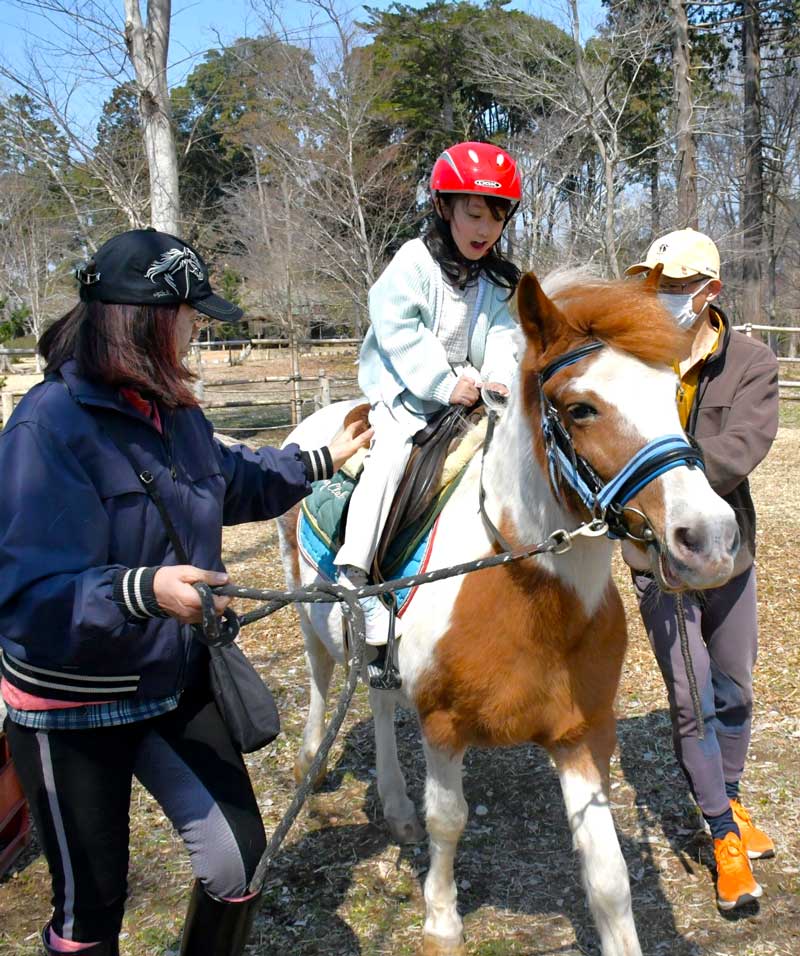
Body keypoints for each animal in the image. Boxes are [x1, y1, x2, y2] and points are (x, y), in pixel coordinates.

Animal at [276, 269, 739, 956]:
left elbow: (608, 878)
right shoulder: (443, 726)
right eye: (581, 408)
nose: (709, 538)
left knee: (380, 699)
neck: (526, 593)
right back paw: (311, 761)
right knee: (320, 677)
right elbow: (449, 820)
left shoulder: (581, 736)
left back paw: (395, 807)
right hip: (311, 617)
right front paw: (442, 920)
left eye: (674, 393)